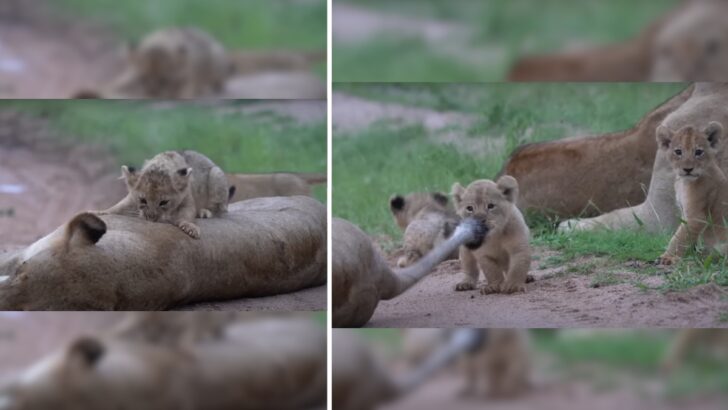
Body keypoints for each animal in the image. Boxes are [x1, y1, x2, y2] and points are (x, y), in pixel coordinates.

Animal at [656, 122, 728, 265]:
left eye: (698, 152)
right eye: (678, 152)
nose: (688, 169)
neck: (683, 182)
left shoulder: (696, 217)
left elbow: (679, 238)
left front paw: (668, 257)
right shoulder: (686, 213)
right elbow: (687, 237)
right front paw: (690, 254)